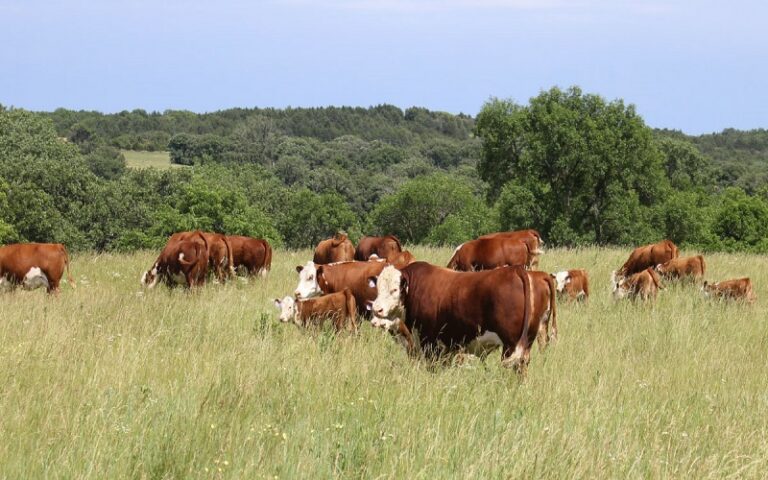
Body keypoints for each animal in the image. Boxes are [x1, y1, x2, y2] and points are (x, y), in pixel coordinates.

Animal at [367, 262, 534, 375]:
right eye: (378, 288)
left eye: (395, 289)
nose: (377, 309)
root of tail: (514, 270)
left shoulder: (429, 343)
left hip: (510, 345)